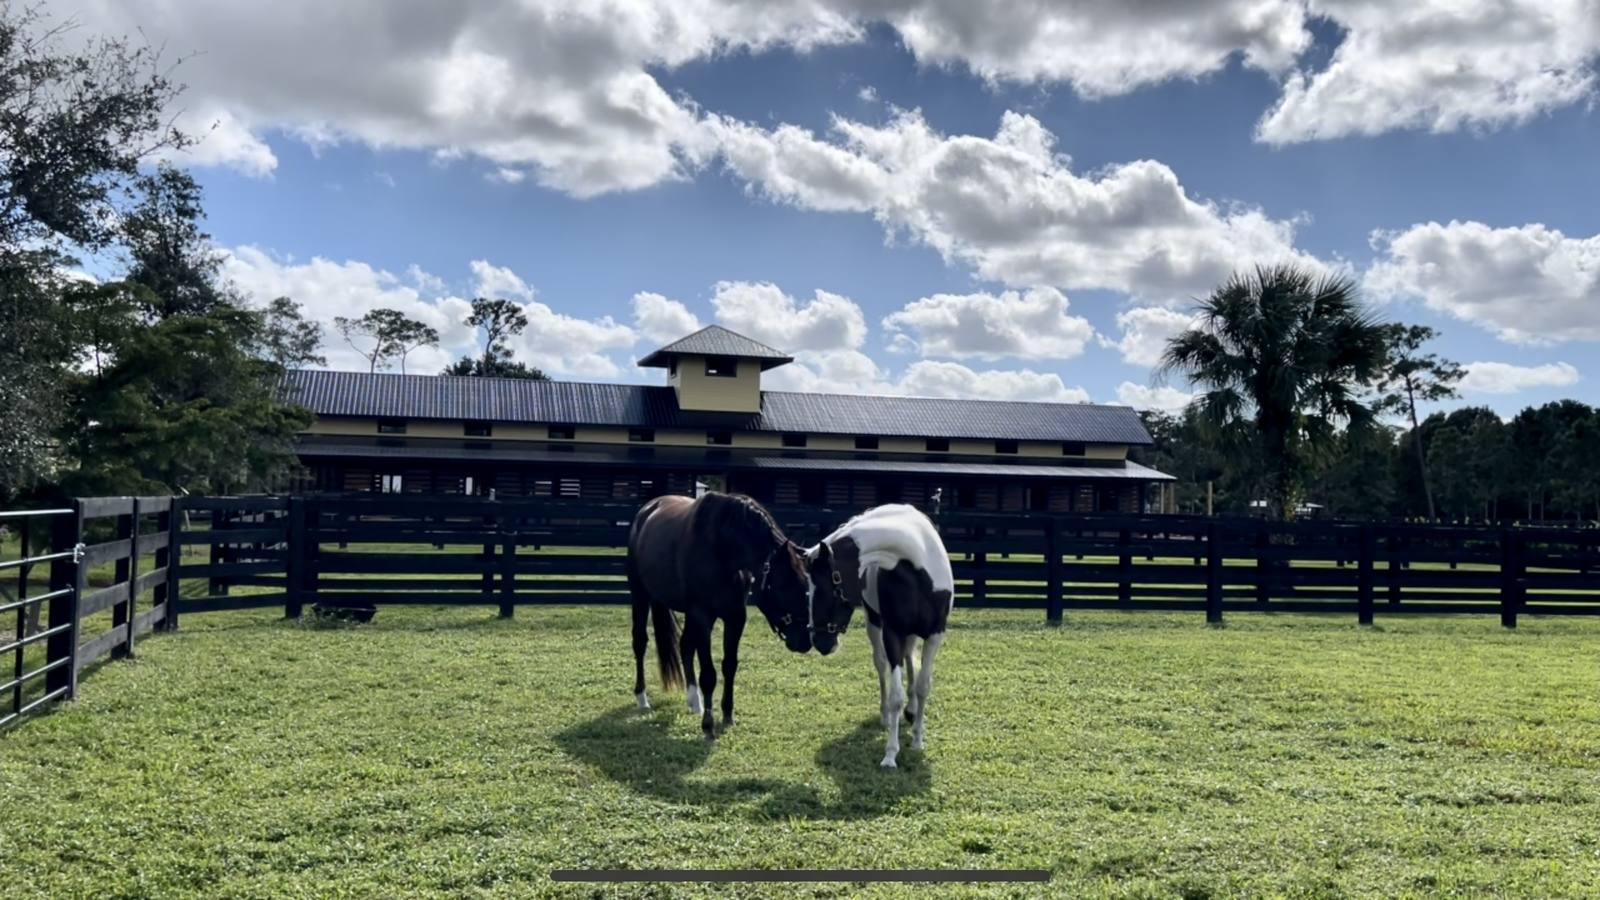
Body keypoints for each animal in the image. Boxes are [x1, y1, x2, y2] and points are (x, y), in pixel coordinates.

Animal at [626, 491, 813, 739]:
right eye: (785, 587)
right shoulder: (702, 616)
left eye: (806, 587)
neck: (722, 550)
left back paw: (694, 701)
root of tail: (647, 510)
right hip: (641, 595)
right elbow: (709, 675)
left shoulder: (735, 616)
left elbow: (729, 666)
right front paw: (708, 725)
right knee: (640, 643)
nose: (805, 641)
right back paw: (642, 698)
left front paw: (727, 715)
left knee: (685, 646)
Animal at [803, 503, 954, 769]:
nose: (820, 642)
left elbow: (923, 685)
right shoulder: (892, 633)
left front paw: (917, 740)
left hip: (912, 634)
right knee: (882, 666)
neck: (917, 565)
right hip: (875, 627)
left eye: (823, 587)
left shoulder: (934, 635)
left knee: (910, 662)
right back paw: (886, 716)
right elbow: (895, 695)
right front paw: (891, 754)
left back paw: (912, 711)